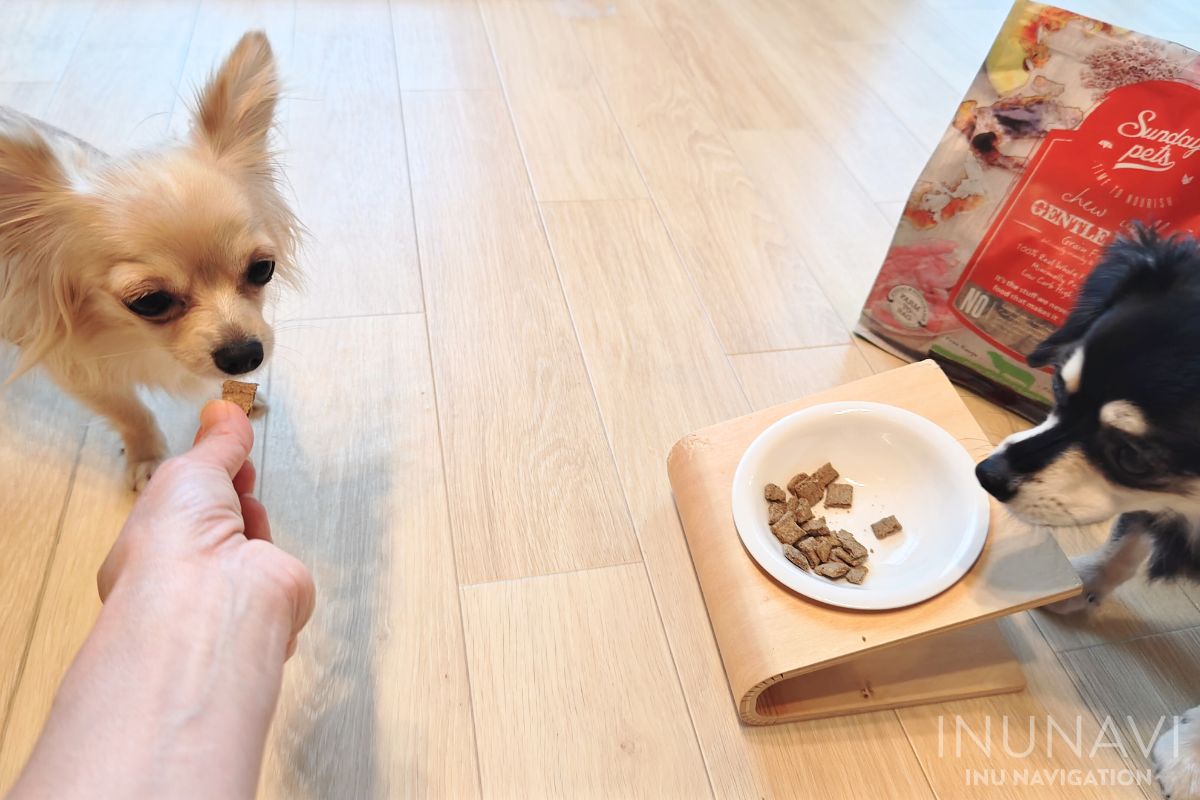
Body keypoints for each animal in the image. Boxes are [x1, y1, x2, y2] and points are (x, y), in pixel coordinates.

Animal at [974, 225, 1200, 800]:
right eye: (1057, 385)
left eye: (1131, 456)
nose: (987, 474)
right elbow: (1130, 534)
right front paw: (1087, 581)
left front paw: (1191, 757)